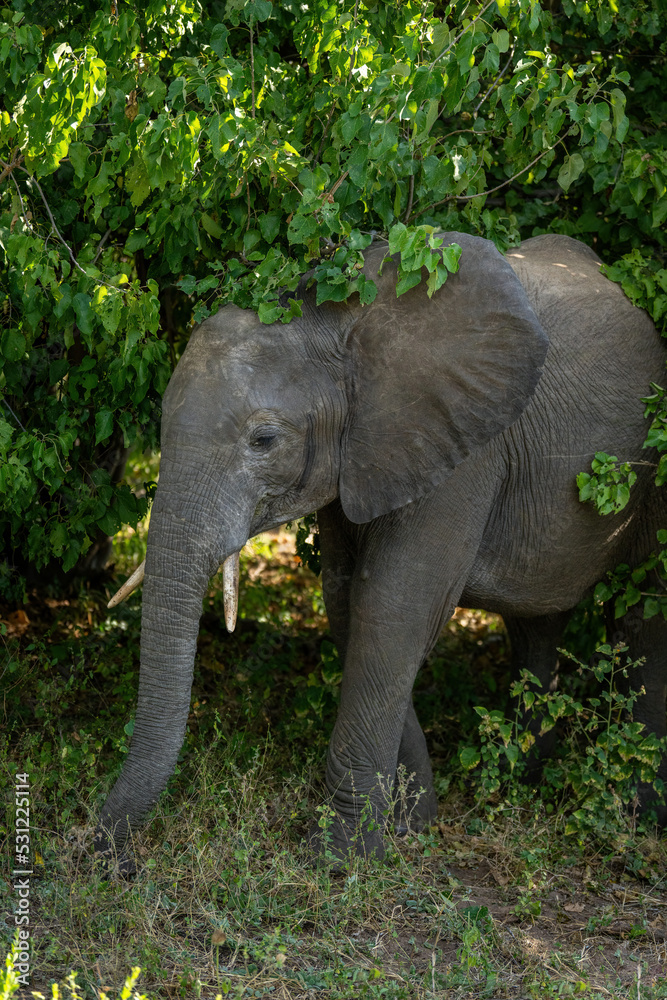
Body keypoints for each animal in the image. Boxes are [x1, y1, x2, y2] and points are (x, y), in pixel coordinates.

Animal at [96, 231, 667, 867]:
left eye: (264, 440)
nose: (108, 855)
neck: (337, 319)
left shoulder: (463, 449)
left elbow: (392, 607)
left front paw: (340, 857)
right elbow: (347, 604)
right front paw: (411, 826)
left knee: (645, 613)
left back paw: (638, 814)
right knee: (538, 624)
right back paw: (524, 783)